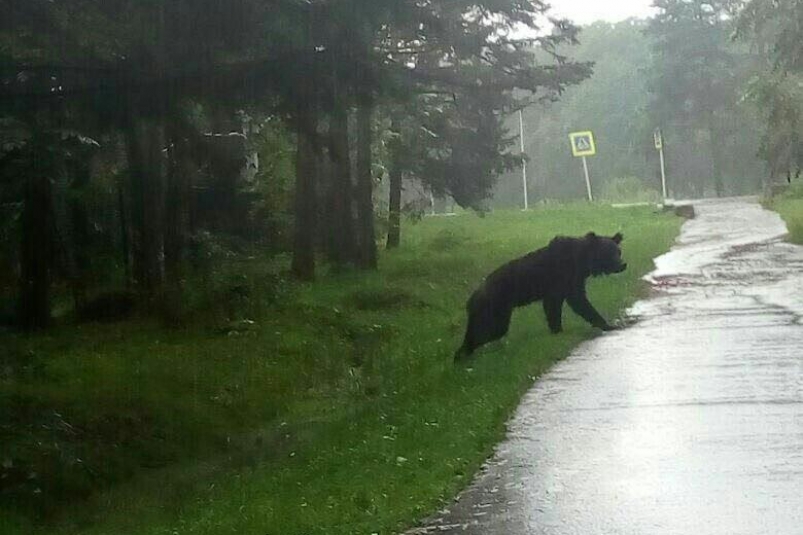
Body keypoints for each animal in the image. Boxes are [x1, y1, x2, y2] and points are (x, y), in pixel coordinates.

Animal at [456, 232, 624, 362]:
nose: (623, 264)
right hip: (495, 307)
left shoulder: (572, 282)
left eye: (618, 251)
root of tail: (471, 299)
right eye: (610, 252)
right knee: (489, 331)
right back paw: (462, 355)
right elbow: (572, 303)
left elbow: (571, 303)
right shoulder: (562, 277)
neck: (582, 263)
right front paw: (607, 324)